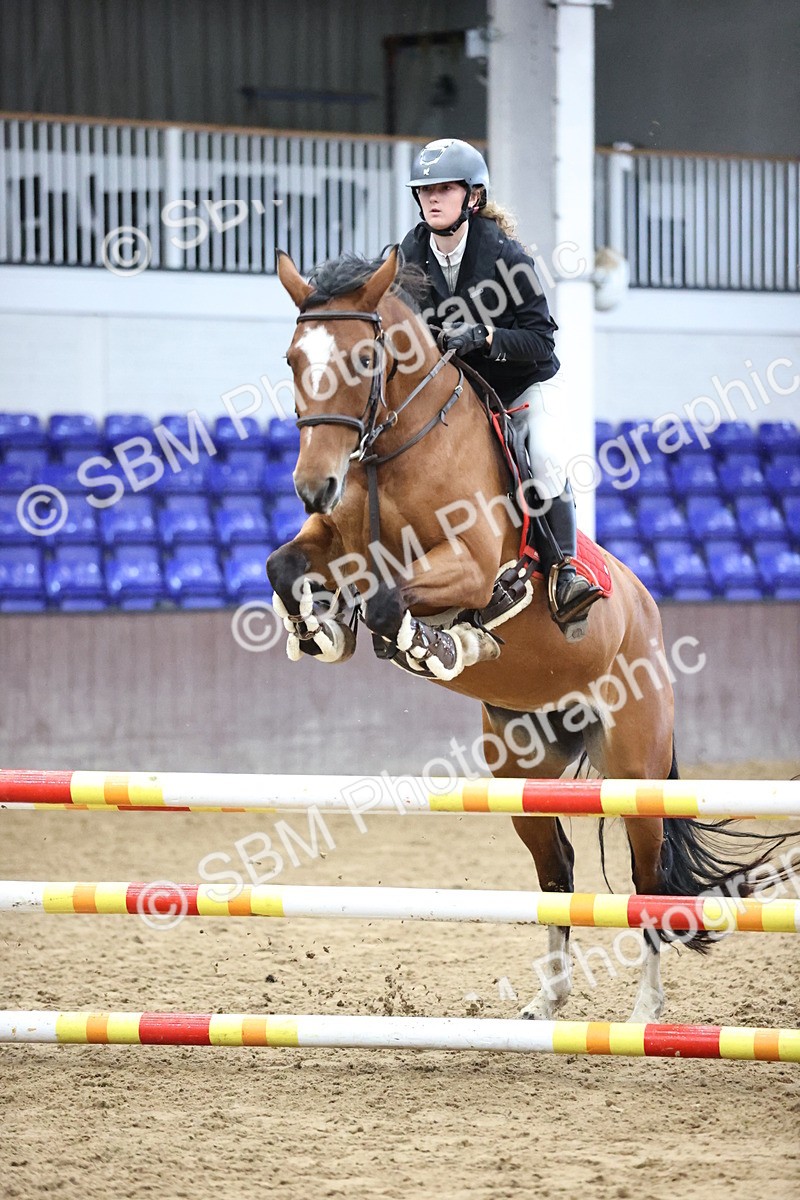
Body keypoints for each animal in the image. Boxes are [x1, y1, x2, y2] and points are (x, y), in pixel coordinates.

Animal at [267, 246, 789, 1024]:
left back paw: (644, 1012)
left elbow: (394, 602)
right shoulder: (336, 539)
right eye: (294, 359)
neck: (400, 449)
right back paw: (547, 1003)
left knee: (647, 881)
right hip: (523, 774)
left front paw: (439, 644)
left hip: (633, 771)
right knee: (557, 873)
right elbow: (285, 563)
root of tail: (648, 613)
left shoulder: (472, 567)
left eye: (365, 357)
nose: (313, 486)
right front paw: (320, 630)